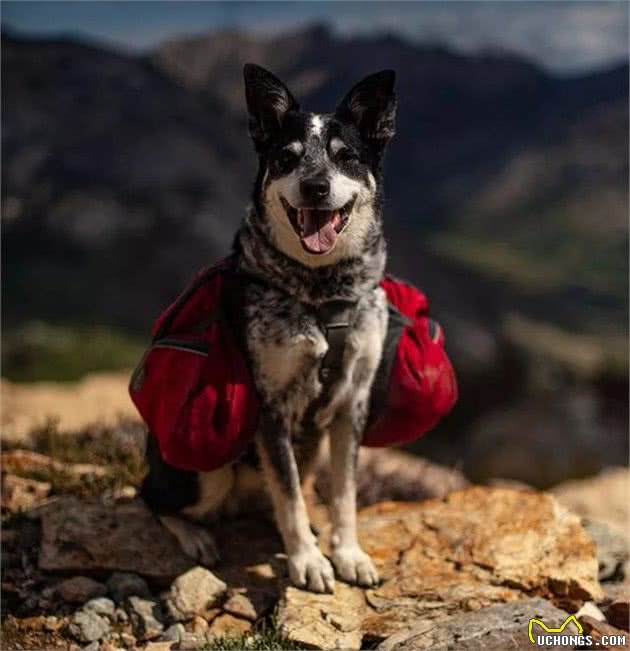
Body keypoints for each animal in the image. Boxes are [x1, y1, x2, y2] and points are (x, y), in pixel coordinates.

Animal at [143, 63, 398, 592]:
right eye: (286, 158)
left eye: (346, 158)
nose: (316, 187)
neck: (322, 291)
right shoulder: (271, 407)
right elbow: (290, 495)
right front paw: (307, 562)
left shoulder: (353, 404)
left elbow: (343, 494)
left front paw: (348, 553)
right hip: (207, 471)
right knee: (151, 496)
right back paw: (195, 535)